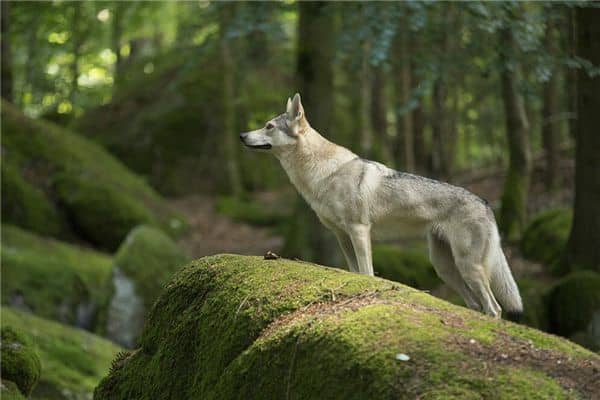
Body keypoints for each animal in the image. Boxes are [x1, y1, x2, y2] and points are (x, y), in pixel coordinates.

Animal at [241, 94, 524, 318]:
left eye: (268, 126)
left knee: (494, 308)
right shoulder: (342, 235)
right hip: (445, 268)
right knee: (476, 306)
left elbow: (367, 273)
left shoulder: (359, 230)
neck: (323, 174)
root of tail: (486, 204)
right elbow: (354, 272)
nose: (242, 135)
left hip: (468, 267)